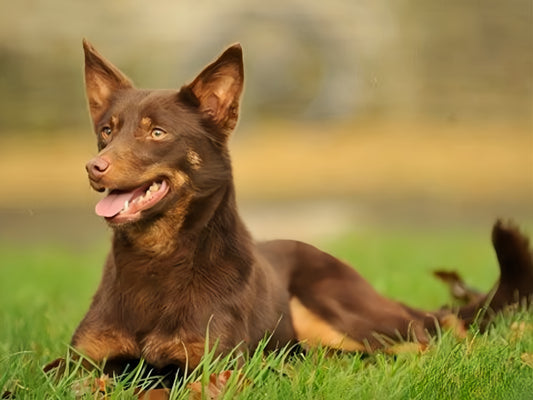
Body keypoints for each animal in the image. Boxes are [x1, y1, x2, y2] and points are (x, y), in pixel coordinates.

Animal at [71, 40, 532, 378]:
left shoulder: (210, 365)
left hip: (338, 307)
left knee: (429, 333)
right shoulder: (81, 360)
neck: (157, 260)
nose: (94, 167)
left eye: (157, 133)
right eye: (107, 131)